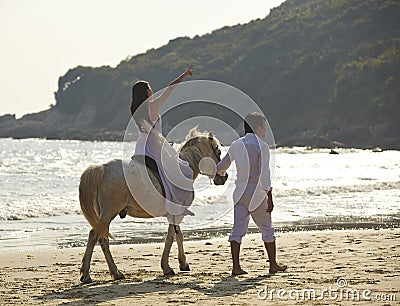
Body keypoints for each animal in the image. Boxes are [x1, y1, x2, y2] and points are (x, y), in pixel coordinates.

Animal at [79, 128, 228, 284]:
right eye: (218, 152)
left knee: (101, 238)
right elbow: (173, 237)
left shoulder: (175, 213)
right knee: (95, 235)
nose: (224, 177)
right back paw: (91, 274)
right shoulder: (177, 213)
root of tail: (103, 168)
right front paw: (170, 266)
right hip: (109, 211)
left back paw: (109, 272)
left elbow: (176, 235)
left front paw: (181, 263)